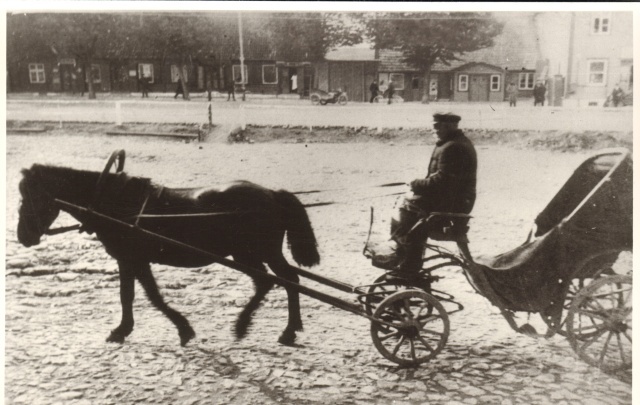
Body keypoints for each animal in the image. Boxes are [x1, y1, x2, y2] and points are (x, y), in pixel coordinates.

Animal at [16, 163, 320, 346]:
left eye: (29, 196)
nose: (23, 236)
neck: (114, 201)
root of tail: (272, 194)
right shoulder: (128, 260)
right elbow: (129, 295)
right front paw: (124, 329)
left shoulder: (135, 260)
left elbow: (151, 297)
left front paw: (182, 329)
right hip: (253, 254)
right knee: (284, 280)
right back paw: (288, 329)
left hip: (252, 253)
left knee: (275, 281)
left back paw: (248, 326)